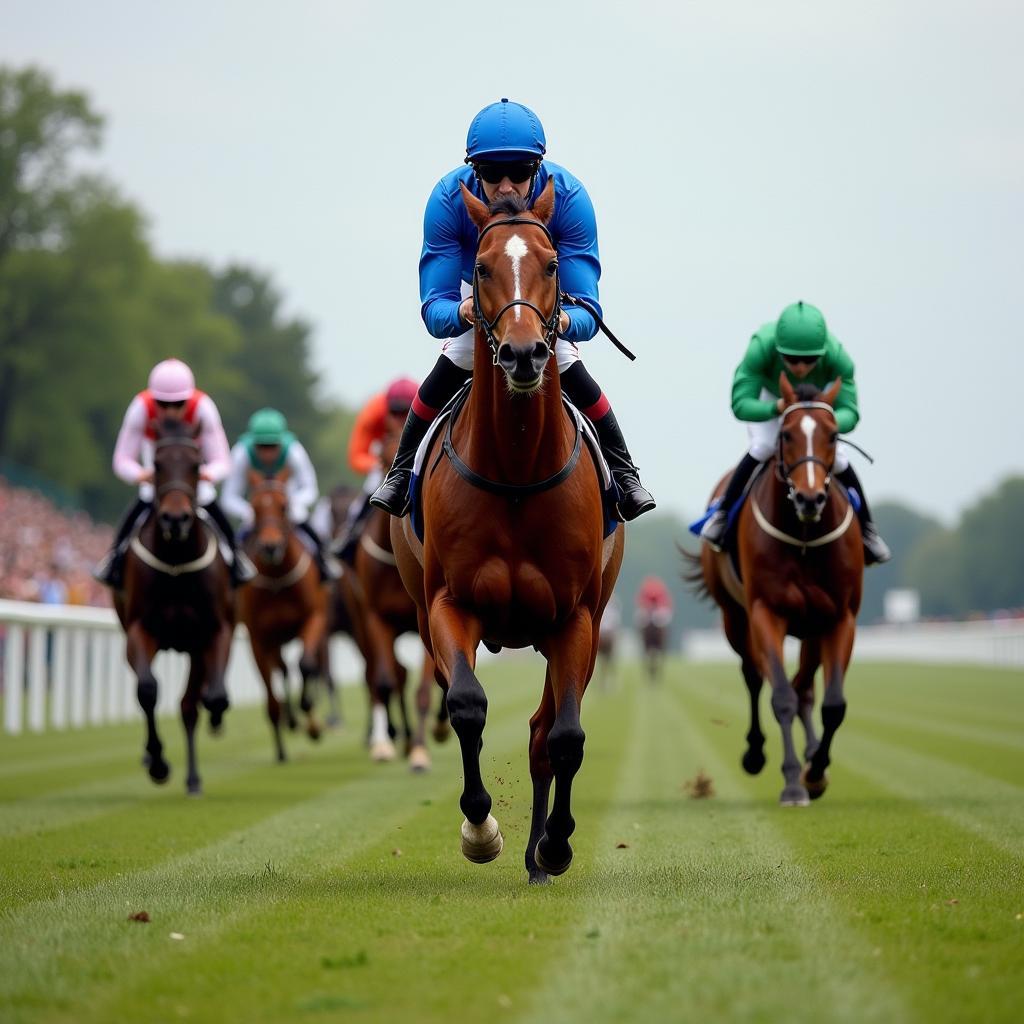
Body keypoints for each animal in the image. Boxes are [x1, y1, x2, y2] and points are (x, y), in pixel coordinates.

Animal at [115, 415, 233, 790]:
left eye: (196, 465)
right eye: (156, 463)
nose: (176, 519)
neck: (177, 564)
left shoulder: (213, 632)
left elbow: (210, 698)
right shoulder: (139, 629)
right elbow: (147, 690)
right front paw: (157, 762)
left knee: (190, 705)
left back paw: (194, 777)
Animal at [236, 471, 325, 761]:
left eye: (284, 506)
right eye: (254, 508)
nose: (270, 546)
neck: (277, 579)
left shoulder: (314, 619)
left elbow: (306, 665)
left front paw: (311, 719)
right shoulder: (258, 638)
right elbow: (270, 693)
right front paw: (281, 748)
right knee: (281, 669)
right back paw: (290, 720)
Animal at [389, 182, 622, 880]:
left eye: (551, 264)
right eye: (483, 267)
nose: (522, 353)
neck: (517, 472)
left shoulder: (575, 618)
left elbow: (565, 735)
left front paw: (555, 843)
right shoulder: (450, 604)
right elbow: (466, 705)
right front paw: (480, 827)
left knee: (544, 728)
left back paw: (542, 851)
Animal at [688, 376, 864, 806]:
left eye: (833, 435)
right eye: (785, 434)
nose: (809, 498)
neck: (804, 538)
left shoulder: (840, 617)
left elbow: (833, 704)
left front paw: (815, 770)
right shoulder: (766, 611)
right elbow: (780, 696)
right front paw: (793, 782)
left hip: (812, 627)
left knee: (805, 687)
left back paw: (813, 754)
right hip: (735, 618)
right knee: (755, 676)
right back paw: (756, 752)